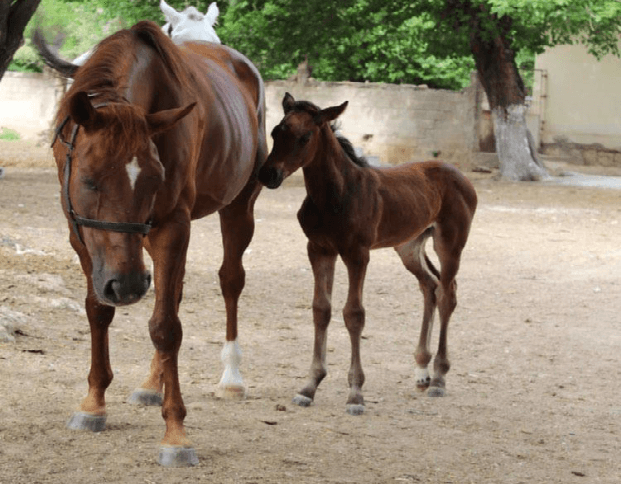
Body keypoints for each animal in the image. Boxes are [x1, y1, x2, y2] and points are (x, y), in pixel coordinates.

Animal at [34, 21, 266, 466]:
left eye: (155, 178)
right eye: (89, 179)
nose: (126, 286)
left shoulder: (171, 225)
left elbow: (165, 326)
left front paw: (176, 434)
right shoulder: (79, 231)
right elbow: (98, 309)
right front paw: (94, 403)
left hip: (238, 205)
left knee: (230, 281)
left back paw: (231, 377)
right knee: (172, 292)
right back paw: (150, 384)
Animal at [256, 93, 474, 416]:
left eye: (305, 137)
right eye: (275, 132)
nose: (268, 174)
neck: (334, 196)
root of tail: (460, 175)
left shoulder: (357, 254)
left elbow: (354, 314)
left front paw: (355, 394)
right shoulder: (319, 249)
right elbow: (321, 310)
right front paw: (309, 387)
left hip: (450, 242)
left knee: (448, 294)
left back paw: (438, 378)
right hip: (408, 246)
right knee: (430, 286)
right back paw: (422, 371)